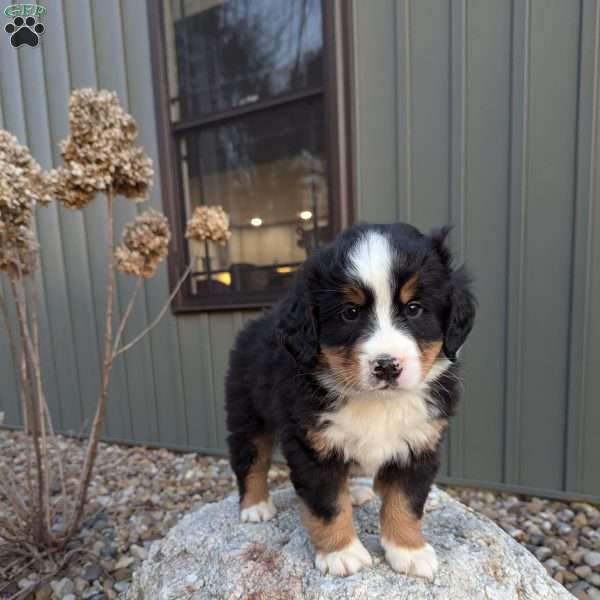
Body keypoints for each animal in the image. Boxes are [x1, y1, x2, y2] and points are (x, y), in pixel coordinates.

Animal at [225, 223, 474, 580]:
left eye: (414, 308)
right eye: (350, 313)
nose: (387, 365)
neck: (378, 402)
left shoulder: (420, 442)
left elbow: (405, 500)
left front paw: (409, 550)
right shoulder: (311, 445)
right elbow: (328, 503)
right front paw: (341, 553)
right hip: (247, 411)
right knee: (250, 457)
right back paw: (255, 506)